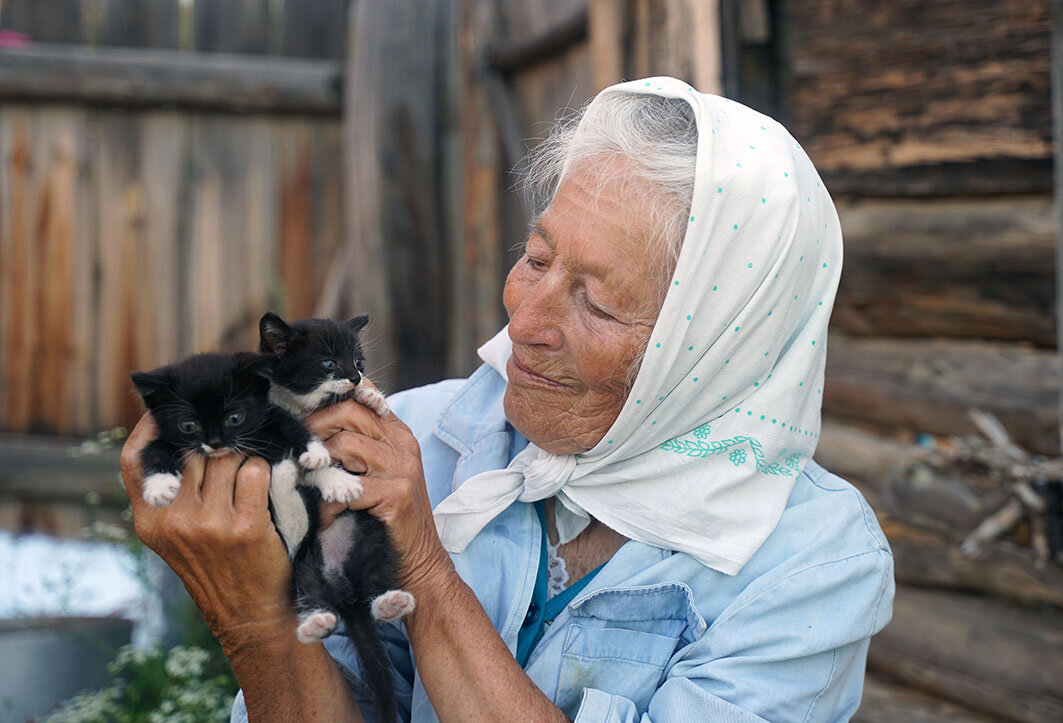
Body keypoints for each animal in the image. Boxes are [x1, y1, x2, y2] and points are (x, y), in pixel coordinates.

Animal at [259, 312, 416, 723]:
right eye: (328, 363)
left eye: (358, 362)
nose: (357, 377)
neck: (305, 408)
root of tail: (344, 592)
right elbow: (310, 457)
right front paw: (334, 480)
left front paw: (373, 398)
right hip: (303, 563)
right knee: (308, 590)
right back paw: (316, 622)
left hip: (371, 536)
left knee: (376, 579)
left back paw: (388, 602)